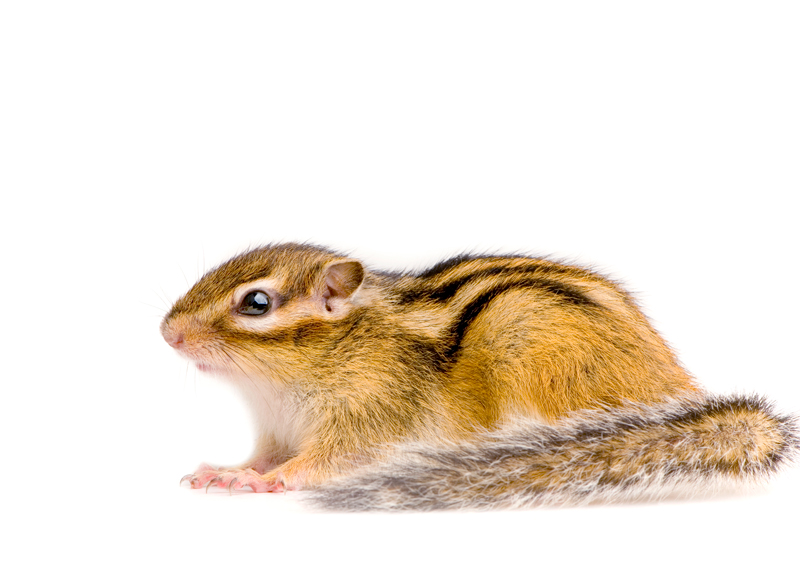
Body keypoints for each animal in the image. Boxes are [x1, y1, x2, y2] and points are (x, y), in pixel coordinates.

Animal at [161, 243, 797, 510]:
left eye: (257, 303)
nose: (167, 332)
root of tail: (679, 394)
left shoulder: (371, 414)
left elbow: (326, 462)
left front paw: (267, 483)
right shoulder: (276, 429)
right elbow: (263, 454)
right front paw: (229, 470)